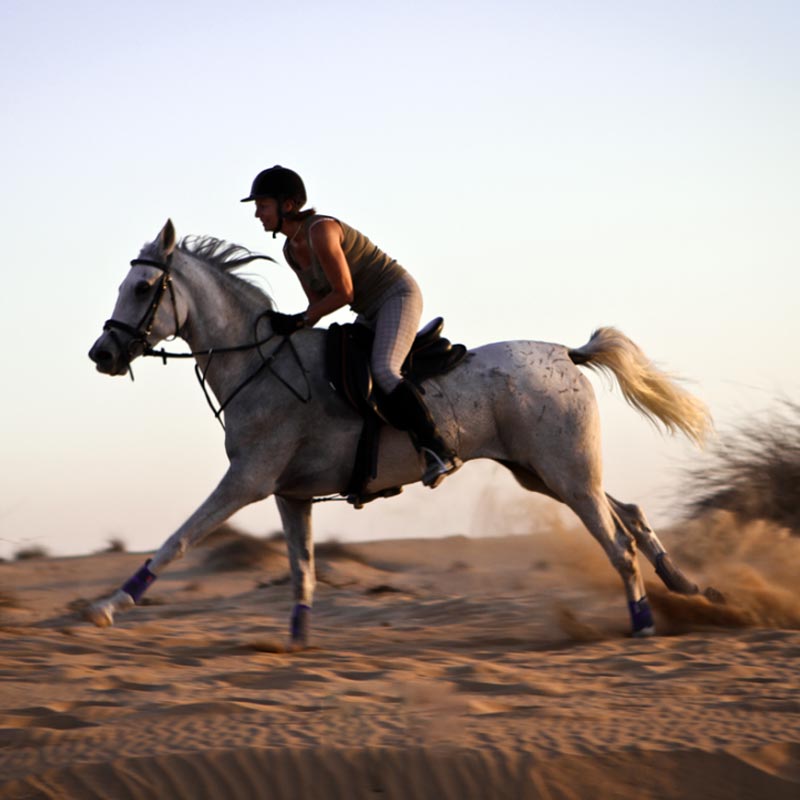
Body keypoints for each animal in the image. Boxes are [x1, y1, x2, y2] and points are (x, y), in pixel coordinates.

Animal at [87, 220, 715, 645]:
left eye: (142, 289)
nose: (102, 354)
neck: (261, 363)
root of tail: (567, 353)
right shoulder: (291, 495)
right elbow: (302, 572)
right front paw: (296, 645)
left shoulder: (247, 480)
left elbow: (178, 540)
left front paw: (110, 606)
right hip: (546, 472)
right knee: (629, 513)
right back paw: (691, 588)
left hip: (566, 473)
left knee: (619, 544)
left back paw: (644, 625)